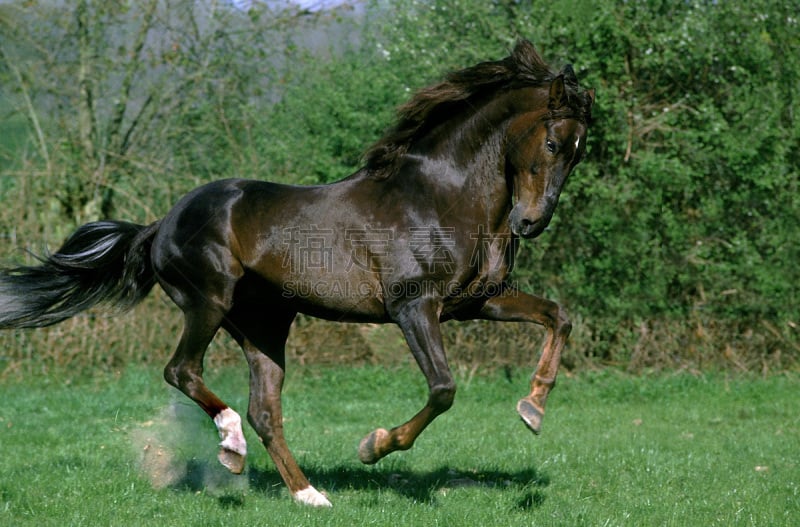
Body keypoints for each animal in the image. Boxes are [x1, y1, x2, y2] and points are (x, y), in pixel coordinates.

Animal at [1, 40, 592, 508]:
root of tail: (161, 223)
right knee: (183, 372)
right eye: (553, 143)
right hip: (208, 303)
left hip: (263, 327)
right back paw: (232, 445)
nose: (529, 222)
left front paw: (532, 410)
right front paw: (373, 446)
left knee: (266, 411)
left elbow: (558, 317)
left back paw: (308, 494)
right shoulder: (412, 307)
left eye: (579, 153)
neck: (437, 197)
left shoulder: (475, 302)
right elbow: (443, 389)